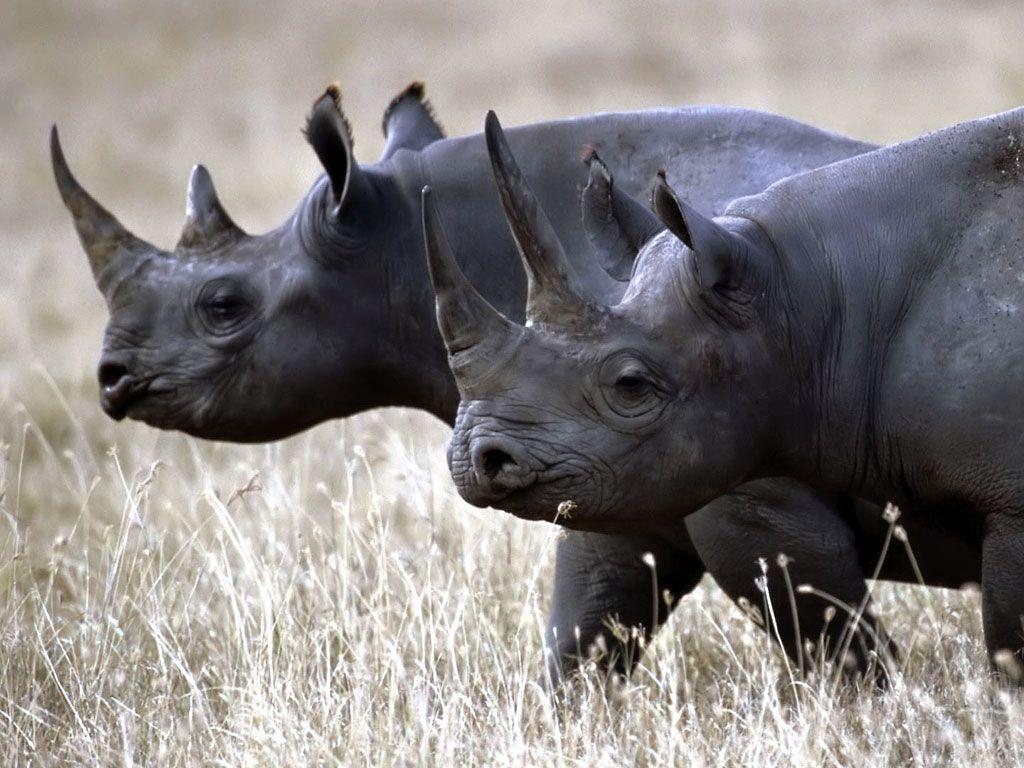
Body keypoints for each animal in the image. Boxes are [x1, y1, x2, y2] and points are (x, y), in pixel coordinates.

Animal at [53, 83, 944, 681]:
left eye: (223, 306)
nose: (113, 380)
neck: (393, 245)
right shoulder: (609, 463)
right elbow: (583, 631)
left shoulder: (740, 479)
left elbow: (837, 644)